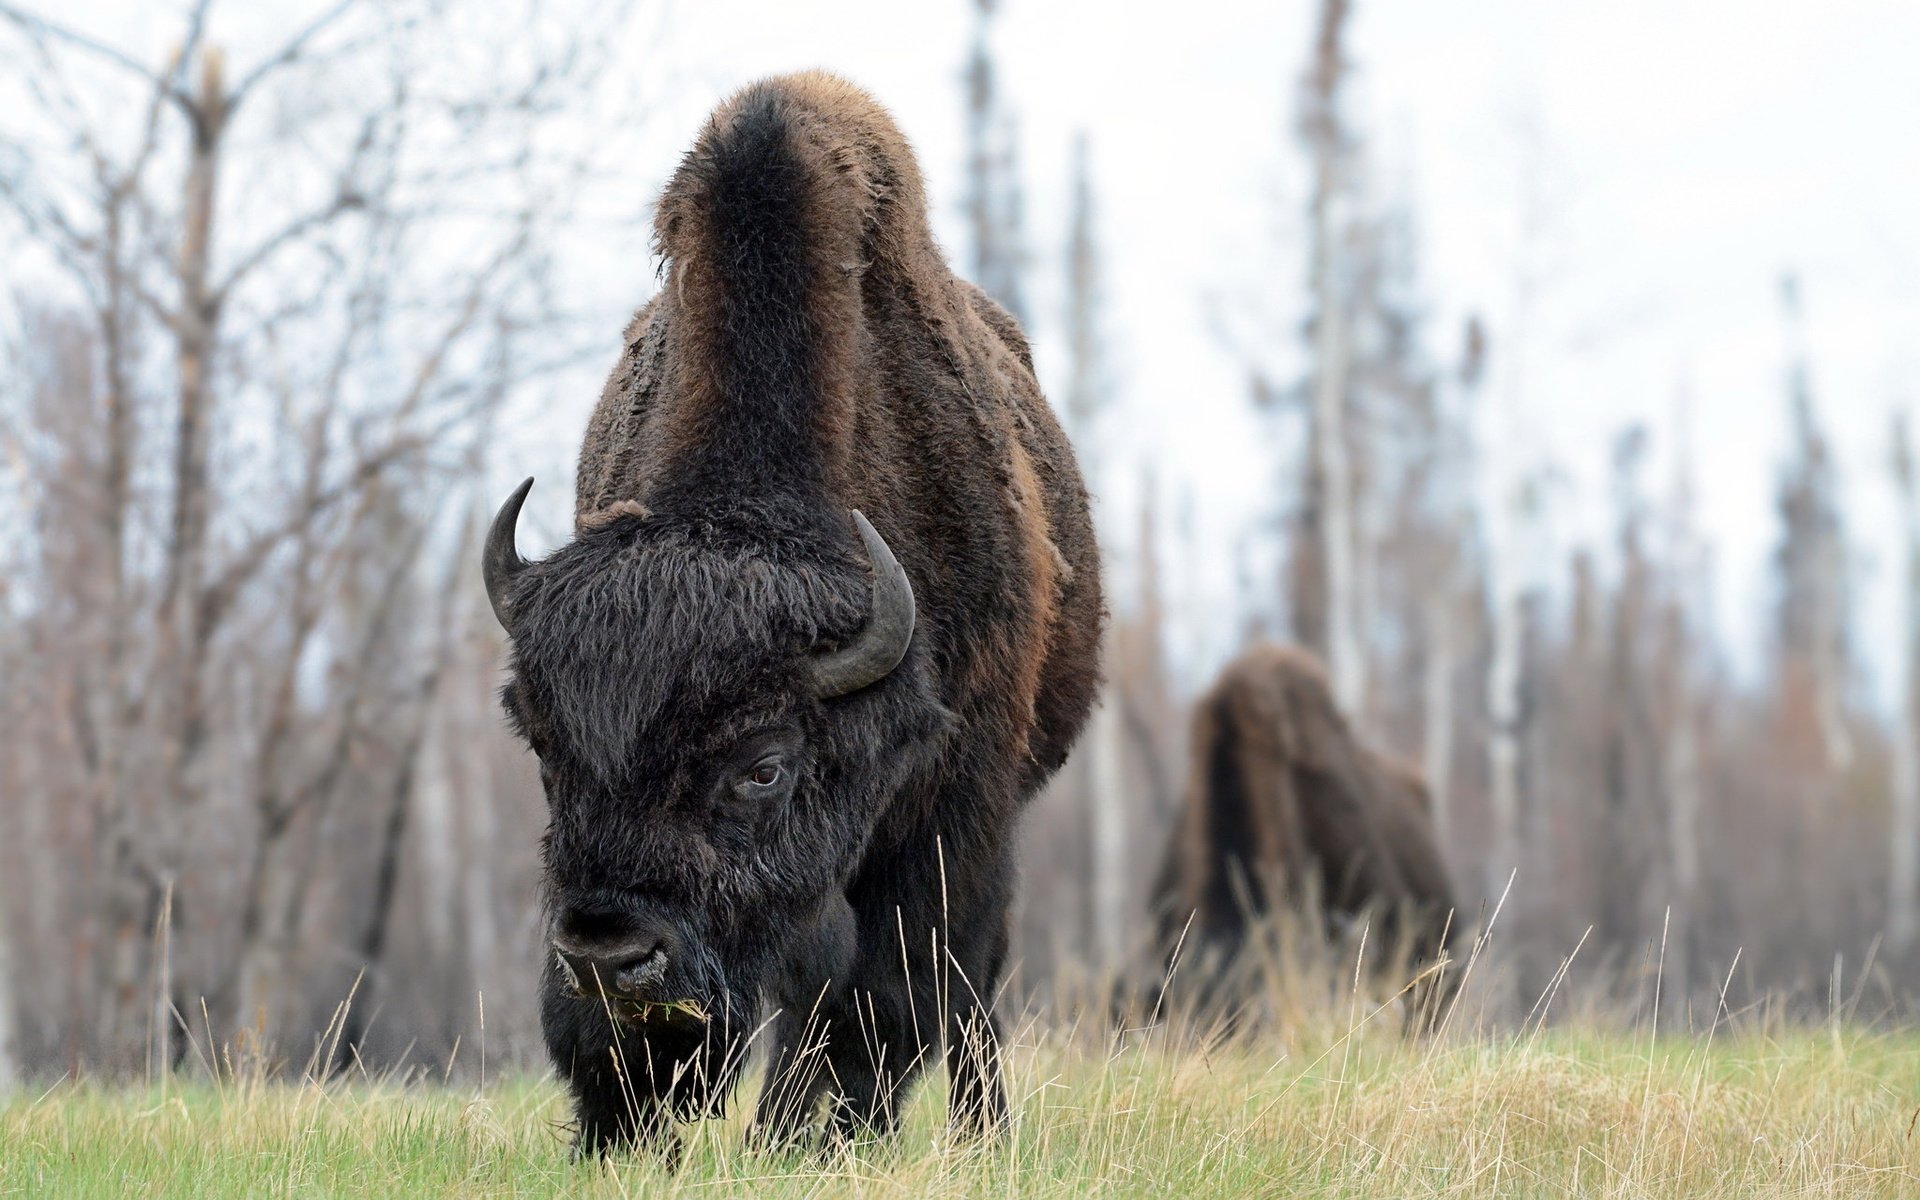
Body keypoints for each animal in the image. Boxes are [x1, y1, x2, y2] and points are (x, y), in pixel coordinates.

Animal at [487, 72, 1105, 1152]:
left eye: (764, 768)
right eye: (545, 747)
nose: (610, 954)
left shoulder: (952, 807)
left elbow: (895, 987)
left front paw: (816, 1140)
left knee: (963, 993)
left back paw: (972, 1133)